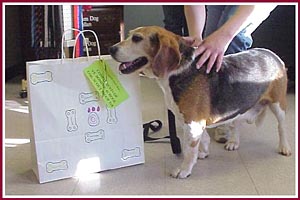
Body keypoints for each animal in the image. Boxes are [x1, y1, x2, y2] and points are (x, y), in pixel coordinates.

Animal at [109, 26, 292, 178]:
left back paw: (284, 147)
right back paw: (233, 142)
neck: (179, 70)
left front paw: (184, 170)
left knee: (282, 127)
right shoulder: (191, 121)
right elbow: (203, 139)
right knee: (236, 124)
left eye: (137, 38)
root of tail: (273, 55)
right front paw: (202, 153)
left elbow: (189, 150)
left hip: (279, 105)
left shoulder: (193, 123)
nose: (111, 49)